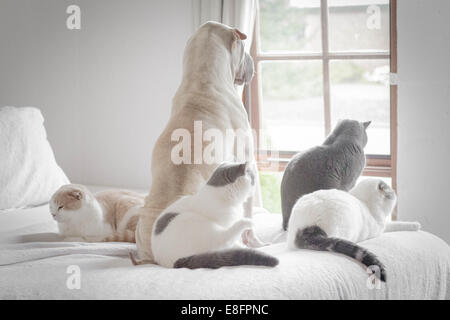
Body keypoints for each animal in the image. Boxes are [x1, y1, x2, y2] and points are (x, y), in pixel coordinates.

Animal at [134, 21, 264, 264]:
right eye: (243, 48)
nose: (252, 61)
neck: (202, 81)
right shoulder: (247, 159)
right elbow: (249, 214)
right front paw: (256, 241)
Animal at [150, 161, 278, 268]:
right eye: (253, 179)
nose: (255, 186)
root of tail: (173, 262)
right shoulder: (225, 223)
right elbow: (232, 240)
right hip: (194, 223)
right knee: (224, 239)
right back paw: (247, 223)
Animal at [286, 179, 420, 282]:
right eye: (391, 192)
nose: (395, 193)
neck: (364, 202)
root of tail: (306, 228)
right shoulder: (380, 228)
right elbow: (396, 224)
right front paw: (416, 225)